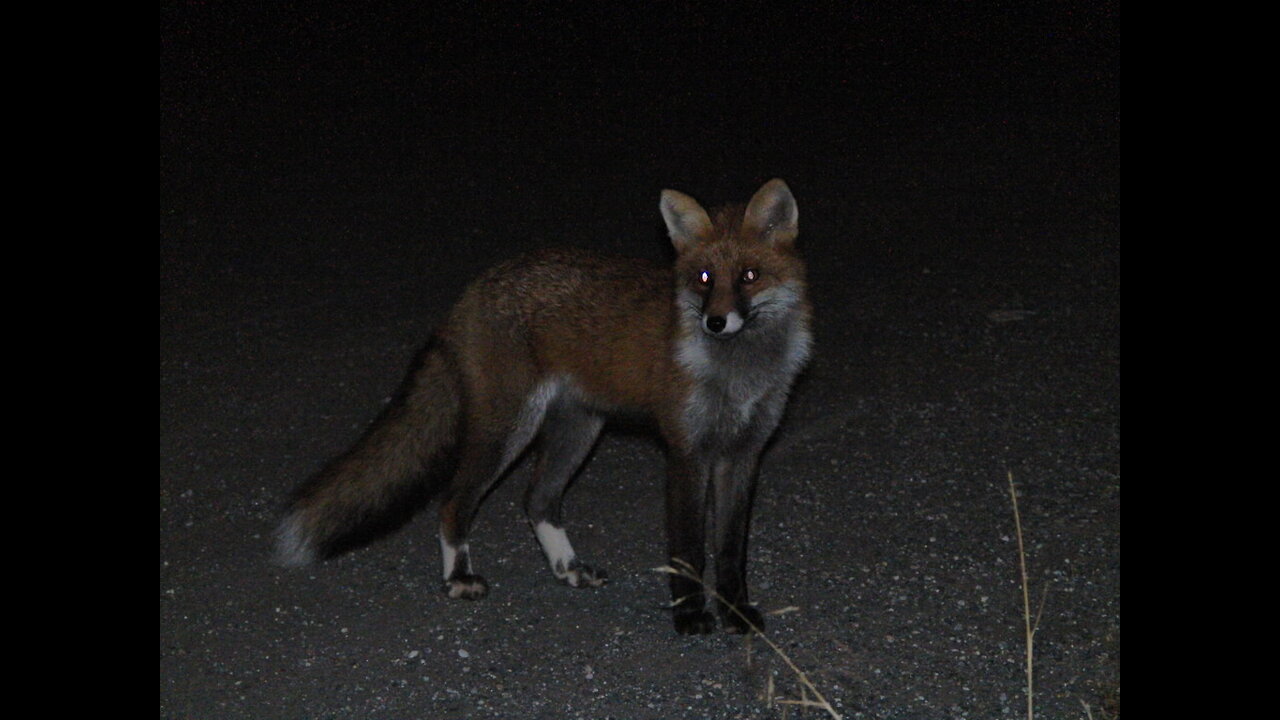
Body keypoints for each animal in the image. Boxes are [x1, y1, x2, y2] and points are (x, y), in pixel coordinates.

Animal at [275, 179, 812, 634]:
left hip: (579, 430)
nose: (715, 322)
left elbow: (731, 551)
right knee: (454, 501)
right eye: (703, 278)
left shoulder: (743, 454)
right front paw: (691, 616)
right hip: (508, 429)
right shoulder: (687, 452)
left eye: (749, 276)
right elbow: (688, 550)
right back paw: (458, 579)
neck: (740, 375)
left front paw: (736, 613)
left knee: (537, 500)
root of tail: (477, 287)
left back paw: (567, 570)